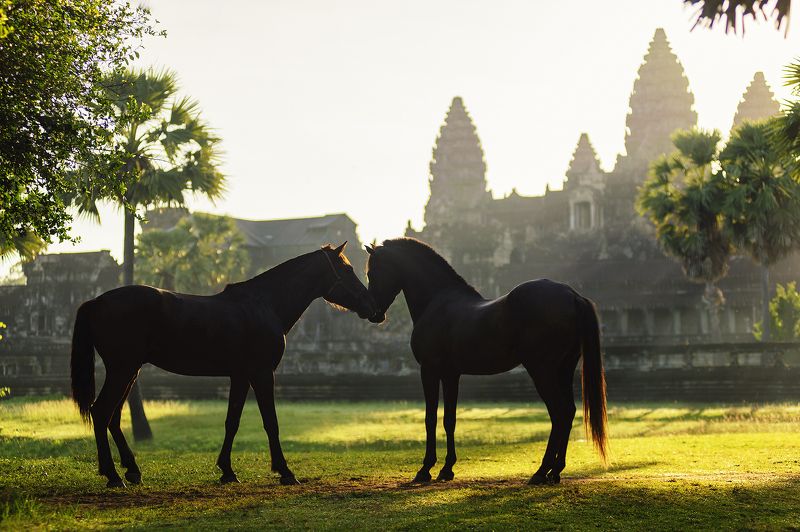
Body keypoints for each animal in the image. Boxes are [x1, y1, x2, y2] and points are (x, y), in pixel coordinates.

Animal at [70, 242, 377, 488]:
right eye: (347, 269)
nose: (372, 307)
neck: (263, 304)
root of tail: (96, 301)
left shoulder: (240, 376)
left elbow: (232, 421)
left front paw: (227, 471)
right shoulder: (262, 374)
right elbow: (271, 422)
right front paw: (285, 471)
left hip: (129, 371)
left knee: (113, 417)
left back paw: (132, 470)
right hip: (122, 370)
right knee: (101, 412)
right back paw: (113, 475)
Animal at [364, 238, 607, 485]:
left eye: (372, 272)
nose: (373, 313)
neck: (438, 302)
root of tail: (571, 295)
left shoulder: (429, 370)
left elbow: (430, 418)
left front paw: (425, 469)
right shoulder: (450, 374)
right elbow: (449, 419)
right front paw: (447, 469)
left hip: (542, 370)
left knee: (559, 412)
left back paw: (541, 471)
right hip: (564, 369)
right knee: (568, 412)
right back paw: (555, 471)